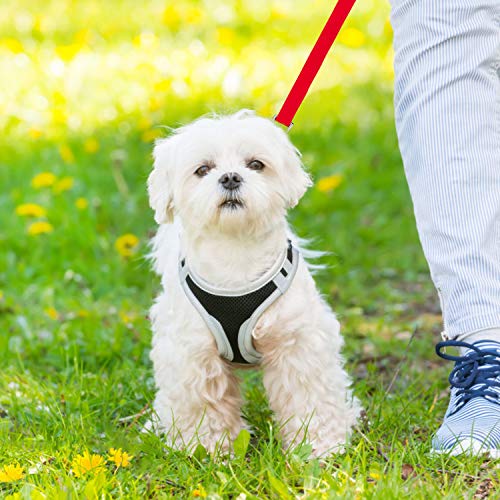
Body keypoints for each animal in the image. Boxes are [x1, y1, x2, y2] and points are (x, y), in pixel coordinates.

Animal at [146, 109, 362, 458]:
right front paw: (209, 450)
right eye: (203, 169)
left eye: (256, 164)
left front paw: (318, 447)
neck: (236, 255)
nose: (230, 177)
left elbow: (309, 399)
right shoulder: (192, 354)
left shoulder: (298, 343)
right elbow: (204, 406)